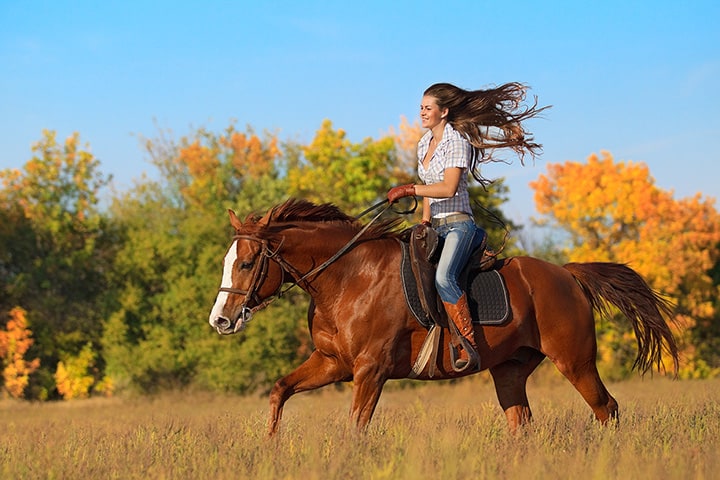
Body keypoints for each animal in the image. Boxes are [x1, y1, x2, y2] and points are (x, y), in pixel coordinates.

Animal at [208, 199, 680, 436]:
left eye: (247, 263)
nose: (221, 321)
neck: (348, 278)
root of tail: (568, 273)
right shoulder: (332, 363)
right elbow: (279, 391)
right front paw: (270, 448)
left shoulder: (370, 370)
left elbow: (356, 427)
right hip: (510, 371)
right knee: (521, 424)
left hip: (575, 362)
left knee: (607, 409)